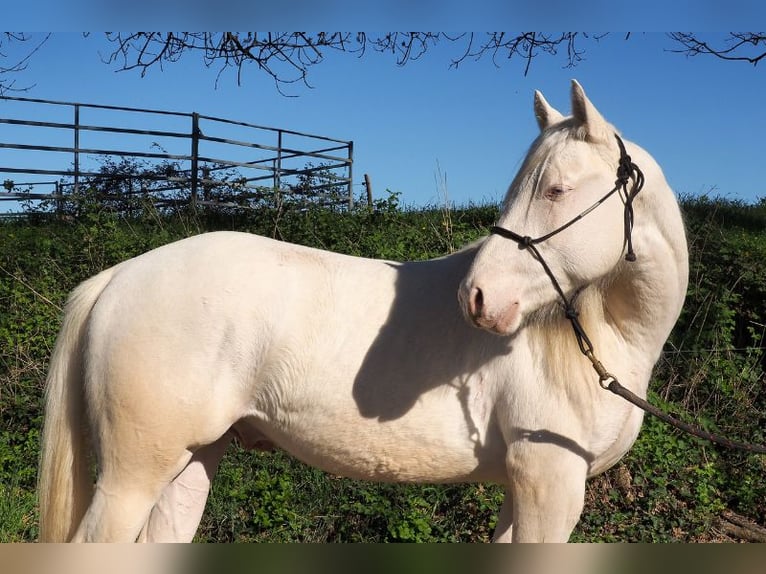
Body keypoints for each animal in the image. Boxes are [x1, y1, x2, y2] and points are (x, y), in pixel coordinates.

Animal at [38, 80, 688, 543]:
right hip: (131, 477)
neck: (605, 338)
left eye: (555, 189)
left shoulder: (523, 490)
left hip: (192, 460)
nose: (477, 297)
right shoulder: (548, 486)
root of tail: (119, 276)